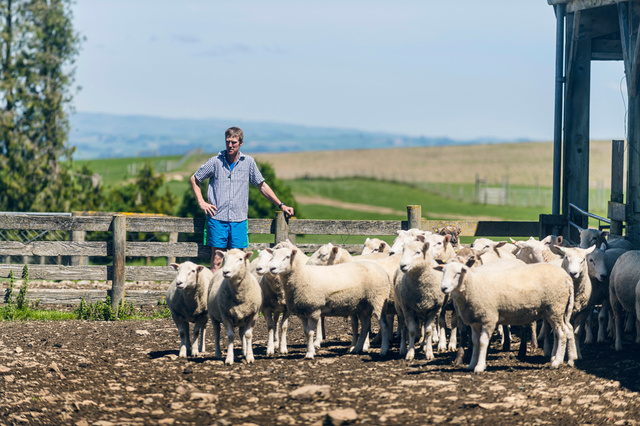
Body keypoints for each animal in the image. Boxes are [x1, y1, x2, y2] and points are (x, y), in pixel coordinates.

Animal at [440, 260, 576, 372]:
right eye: (443, 272)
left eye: (458, 273)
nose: (443, 288)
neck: (473, 285)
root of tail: (566, 277)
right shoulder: (476, 321)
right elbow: (475, 342)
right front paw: (472, 364)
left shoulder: (489, 318)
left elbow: (483, 342)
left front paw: (480, 366)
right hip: (557, 309)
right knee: (567, 329)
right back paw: (567, 359)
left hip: (555, 306)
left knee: (561, 333)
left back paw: (556, 362)